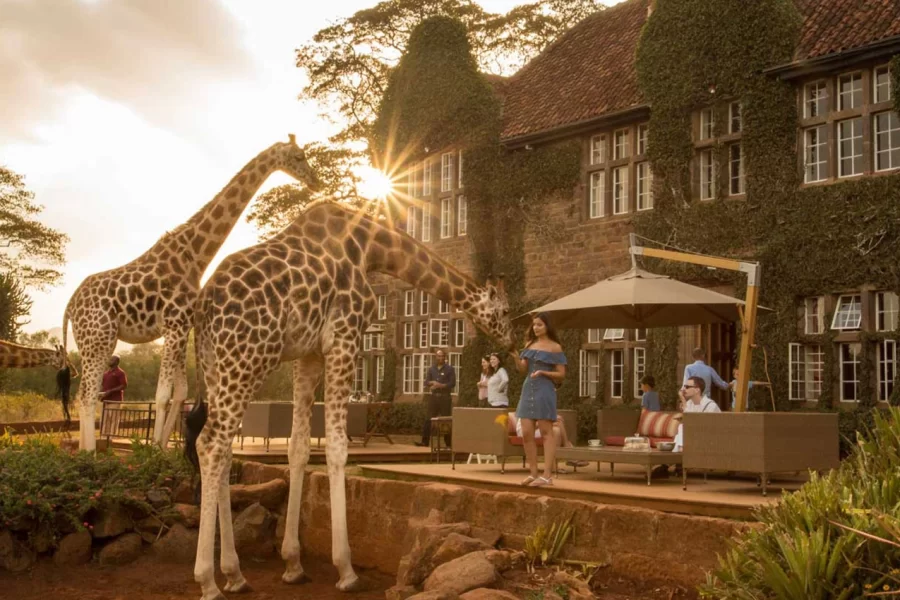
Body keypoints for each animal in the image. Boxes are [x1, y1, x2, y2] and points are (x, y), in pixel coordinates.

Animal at [62, 135, 320, 451]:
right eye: (299, 156)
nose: (316, 181)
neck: (195, 256)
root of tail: (70, 306)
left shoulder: (182, 326)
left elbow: (180, 391)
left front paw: (162, 448)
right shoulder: (173, 324)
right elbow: (162, 394)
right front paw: (151, 449)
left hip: (99, 339)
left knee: (85, 392)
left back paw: (86, 450)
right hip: (97, 337)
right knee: (86, 393)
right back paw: (90, 453)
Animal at [184, 201, 515, 600]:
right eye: (505, 311)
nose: (513, 343)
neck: (372, 249)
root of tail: (202, 307)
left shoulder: (309, 354)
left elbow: (298, 447)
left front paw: (293, 564)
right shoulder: (344, 339)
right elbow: (337, 447)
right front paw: (346, 569)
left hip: (215, 366)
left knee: (222, 449)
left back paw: (234, 574)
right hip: (248, 359)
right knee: (211, 444)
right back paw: (207, 581)